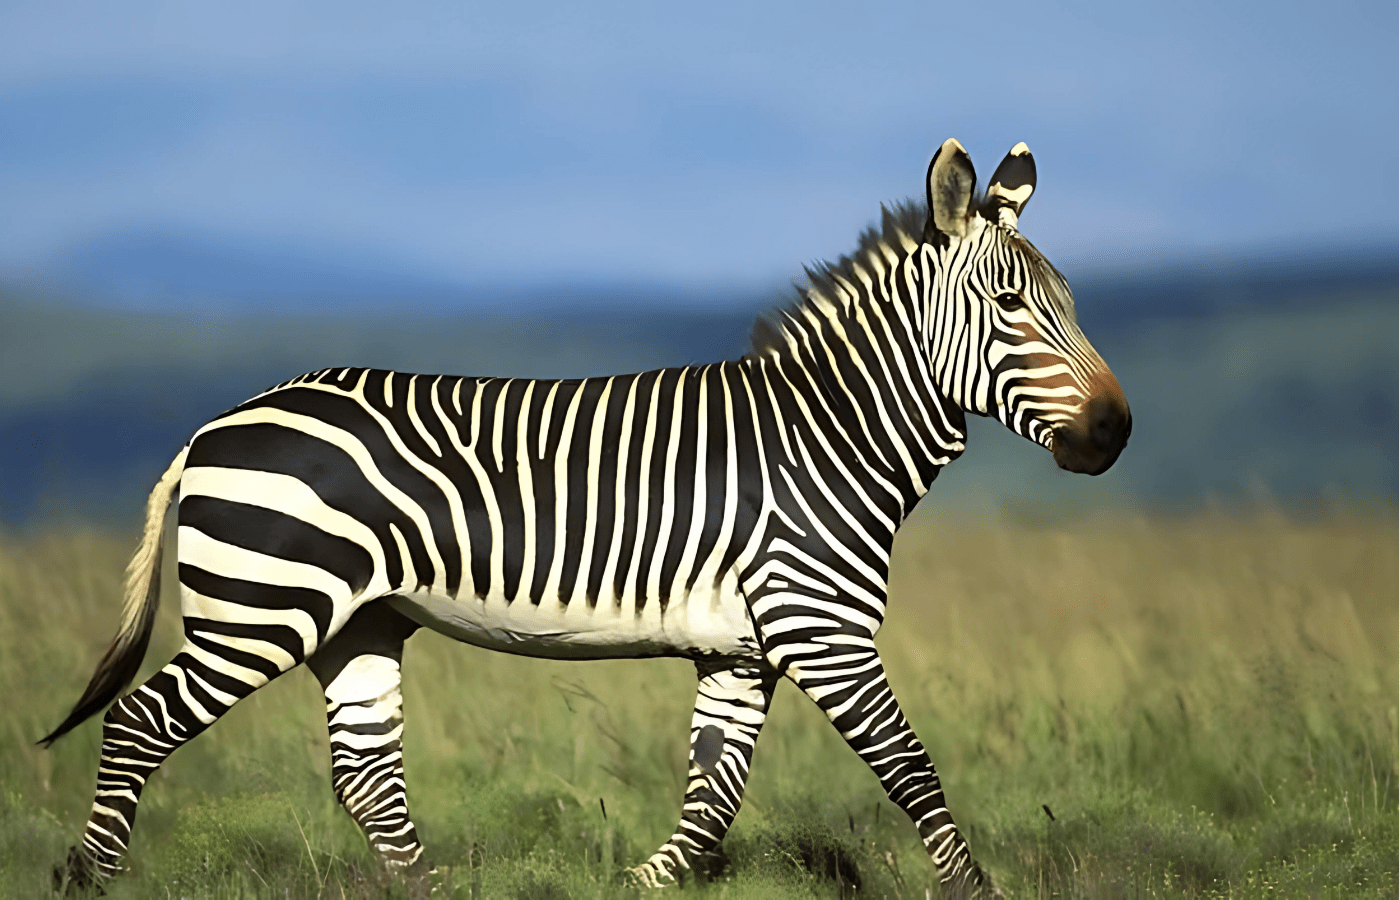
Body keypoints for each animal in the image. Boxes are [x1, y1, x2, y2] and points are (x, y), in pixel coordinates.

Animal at [43, 138, 1130, 896]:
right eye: (1007, 306)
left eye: (1070, 302)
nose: (1115, 432)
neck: (826, 434)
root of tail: (212, 428)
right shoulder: (820, 630)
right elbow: (910, 769)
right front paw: (977, 892)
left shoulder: (740, 650)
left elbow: (711, 798)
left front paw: (638, 884)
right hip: (262, 609)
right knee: (140, 721)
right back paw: (93, 876)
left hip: (357, 621)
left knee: (366, 771)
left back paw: (429, 890)